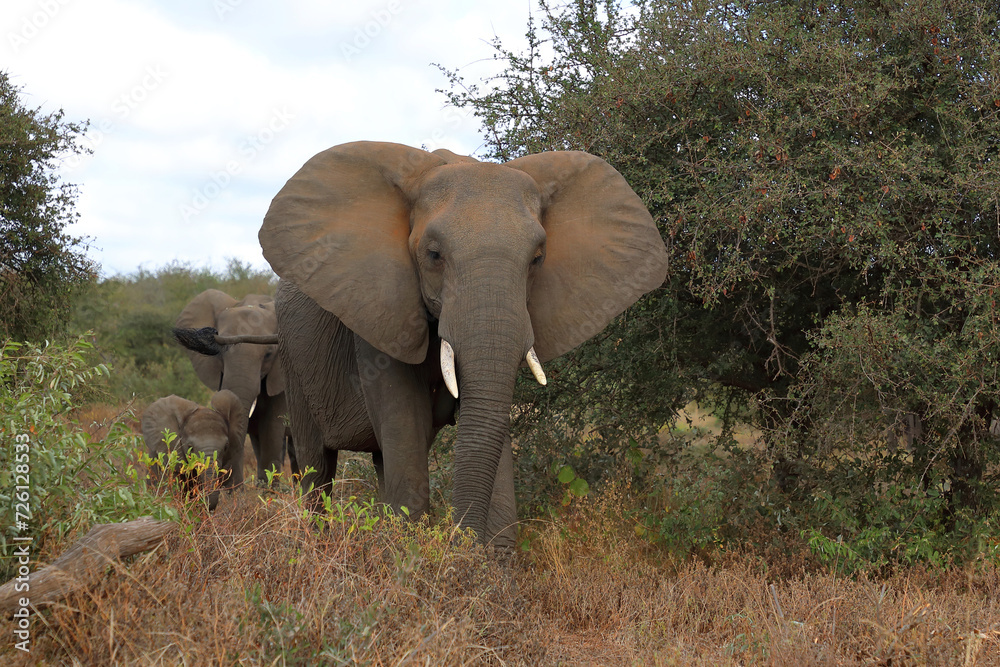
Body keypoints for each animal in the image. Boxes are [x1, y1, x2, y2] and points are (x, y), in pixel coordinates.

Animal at [249, 140, 668, 548]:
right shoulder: (379, 314)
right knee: (317, 465)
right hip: (294, 362)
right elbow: (407, 420)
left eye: (537, 259)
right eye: (434, 255)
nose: (458, 542)